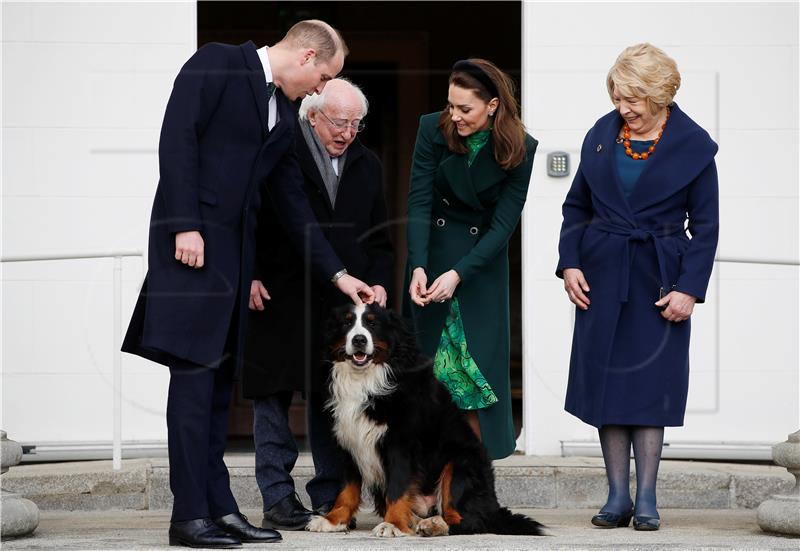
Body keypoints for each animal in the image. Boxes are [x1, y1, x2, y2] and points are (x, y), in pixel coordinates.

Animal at [306, 304, 544, 536]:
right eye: (346, 323)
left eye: (372, 324)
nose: (359, 340)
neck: (365, 379)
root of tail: (492, 507)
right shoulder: (349, 442)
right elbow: (347, 490)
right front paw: (333, 520)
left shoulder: (400, 444)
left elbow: (397, 487)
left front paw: (393, 524)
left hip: (460, 463)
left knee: (468, 521)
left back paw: (433, 525)